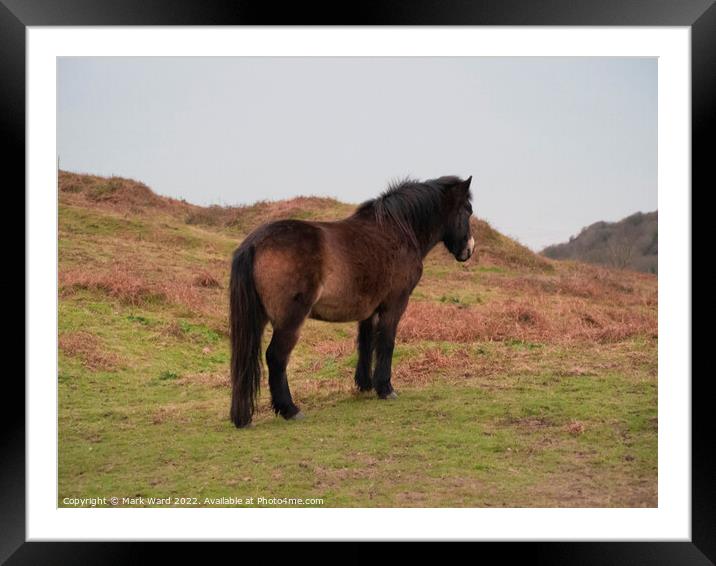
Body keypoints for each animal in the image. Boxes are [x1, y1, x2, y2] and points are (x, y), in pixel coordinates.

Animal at [231, 175, 476, 428]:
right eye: (467, 210)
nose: (469, 249)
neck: (398, 230)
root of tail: (254, 243)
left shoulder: (369, 309)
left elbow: (366, 343)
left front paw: (365, 385)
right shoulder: (394, 304)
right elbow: (386, 343)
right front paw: (385, 388)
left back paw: (242, 416)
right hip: (290, 320)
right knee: (276, 357)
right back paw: (290, 409)